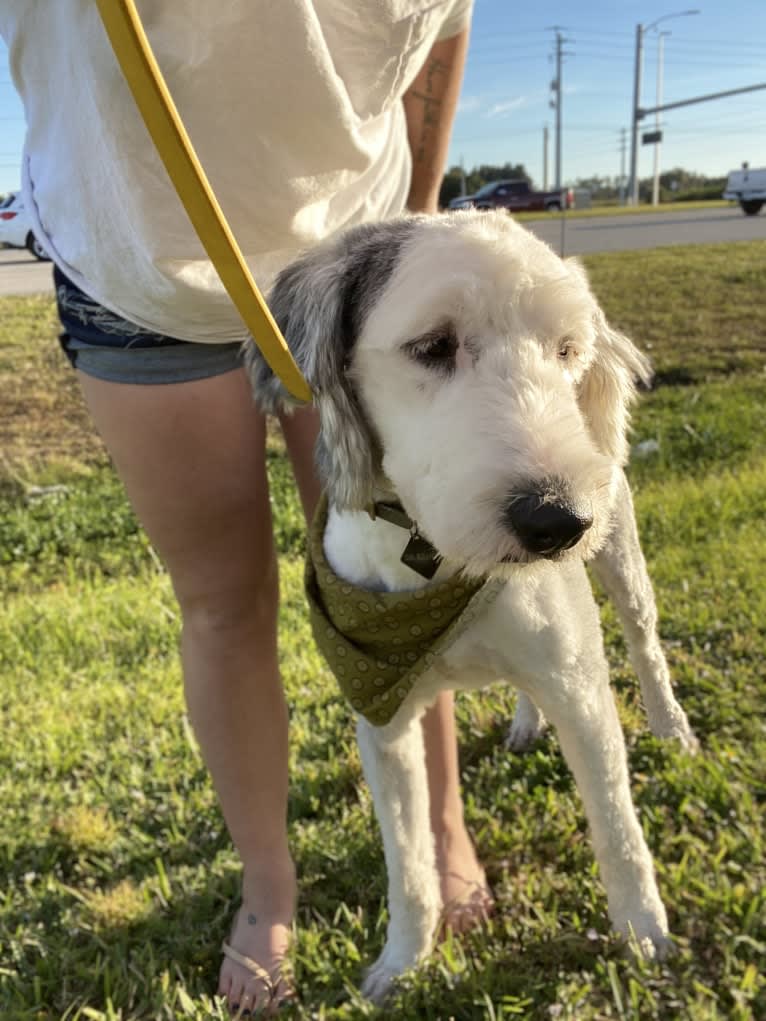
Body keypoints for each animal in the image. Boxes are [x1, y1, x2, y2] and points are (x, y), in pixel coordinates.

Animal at [244, 211, 694, 1000]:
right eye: (432, 346)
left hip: (622, 566)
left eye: (567, 350)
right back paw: (524, 724)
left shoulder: (583, 690)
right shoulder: (383, 721)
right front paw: (400, 962)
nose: (558, 522)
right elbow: (408, 863)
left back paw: (671, 727)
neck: (430, 557)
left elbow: (617, 827)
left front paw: (645, 933)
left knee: (645, 643)